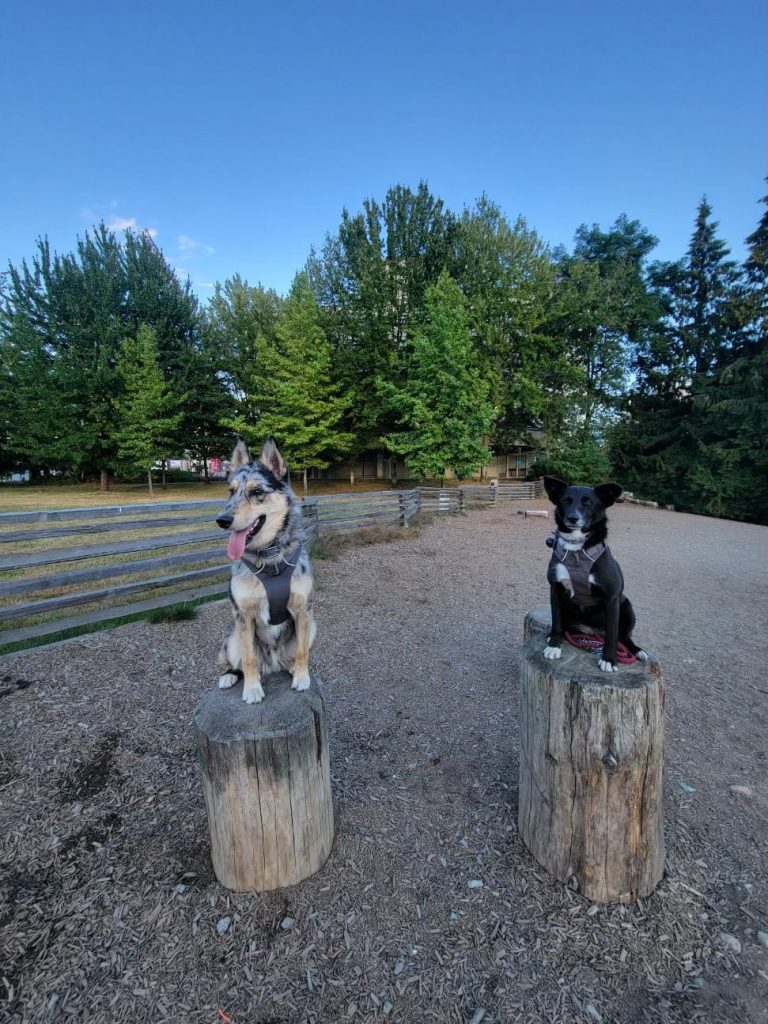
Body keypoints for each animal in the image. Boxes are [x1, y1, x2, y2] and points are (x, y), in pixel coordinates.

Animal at [544, 473, 647, 671]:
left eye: (588, 502)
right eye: (566, 500)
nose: (573, 518)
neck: (576, 550)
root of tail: (591, 632)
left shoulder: (612, 598)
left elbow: (613, 634)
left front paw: (609, 659)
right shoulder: (556, 590)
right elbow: (557, 621)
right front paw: (554, 645)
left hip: (627, 607)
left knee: (624, 637)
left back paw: (637, 650)